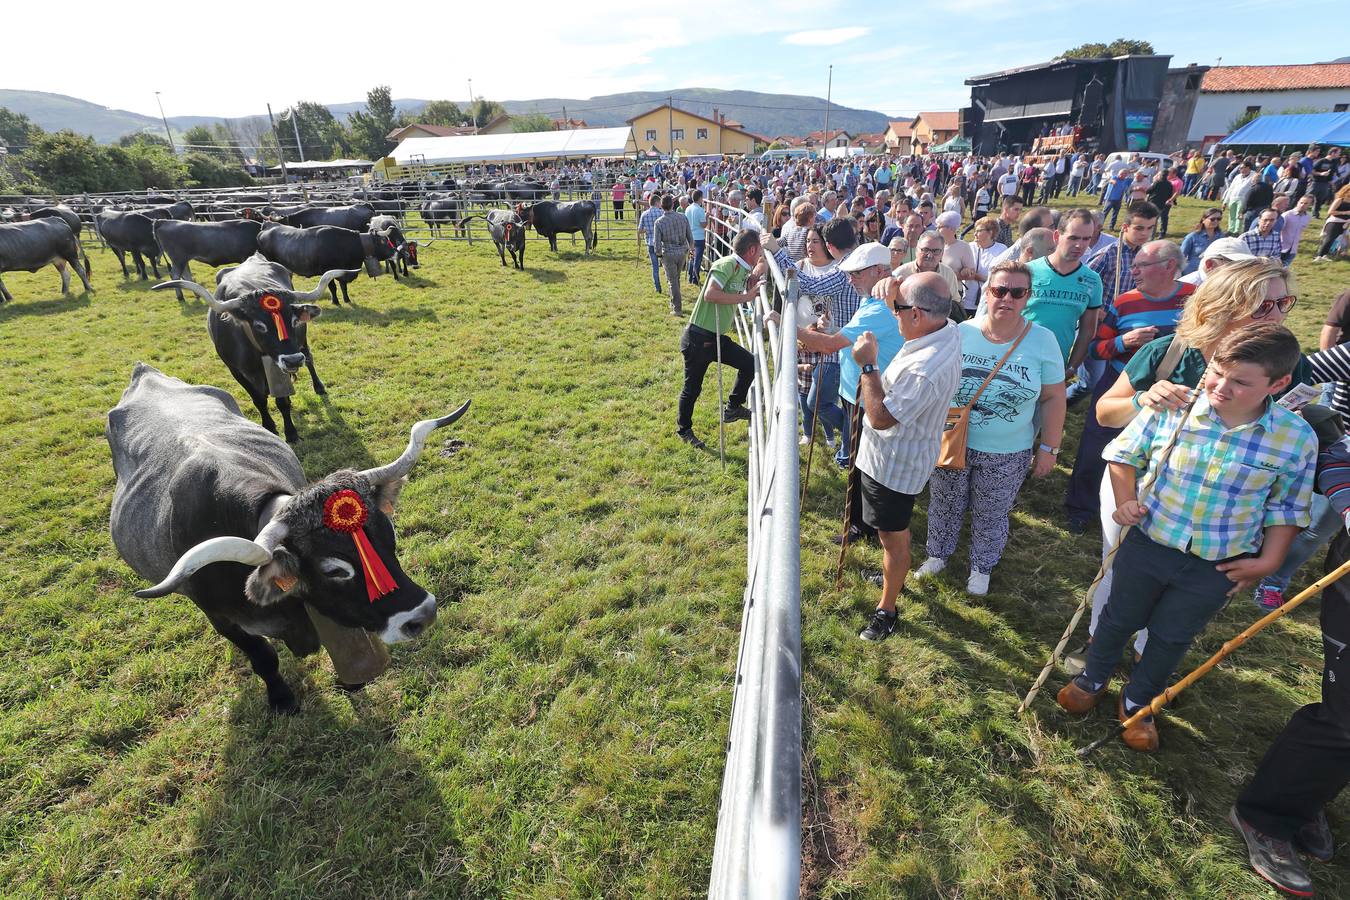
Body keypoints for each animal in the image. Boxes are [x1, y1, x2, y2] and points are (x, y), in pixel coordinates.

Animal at [103, 361, 469, 712]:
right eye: (333, 570)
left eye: (389, 534)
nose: (423, 614)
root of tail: (144, 371)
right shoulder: (222, 618)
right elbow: (264, 657)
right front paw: (281, 699)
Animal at [154, 252, 353, 442]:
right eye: (259, 326)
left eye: (294, 320)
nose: (293, 360)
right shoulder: (236, 370)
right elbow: (259, 400)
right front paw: (270, 426)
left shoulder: (276, 365)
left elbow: (282, 402)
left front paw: (291, 433)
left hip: (302, 344)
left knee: (309, 358)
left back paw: (318, 386)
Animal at [255, 222, 394, 304]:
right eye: (383, 241)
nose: (395, 251)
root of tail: (266, 227)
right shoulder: (328, 271)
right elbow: (333, 287)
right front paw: (335, 301)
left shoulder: (342, 271)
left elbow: (343, 286)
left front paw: (346, 300)